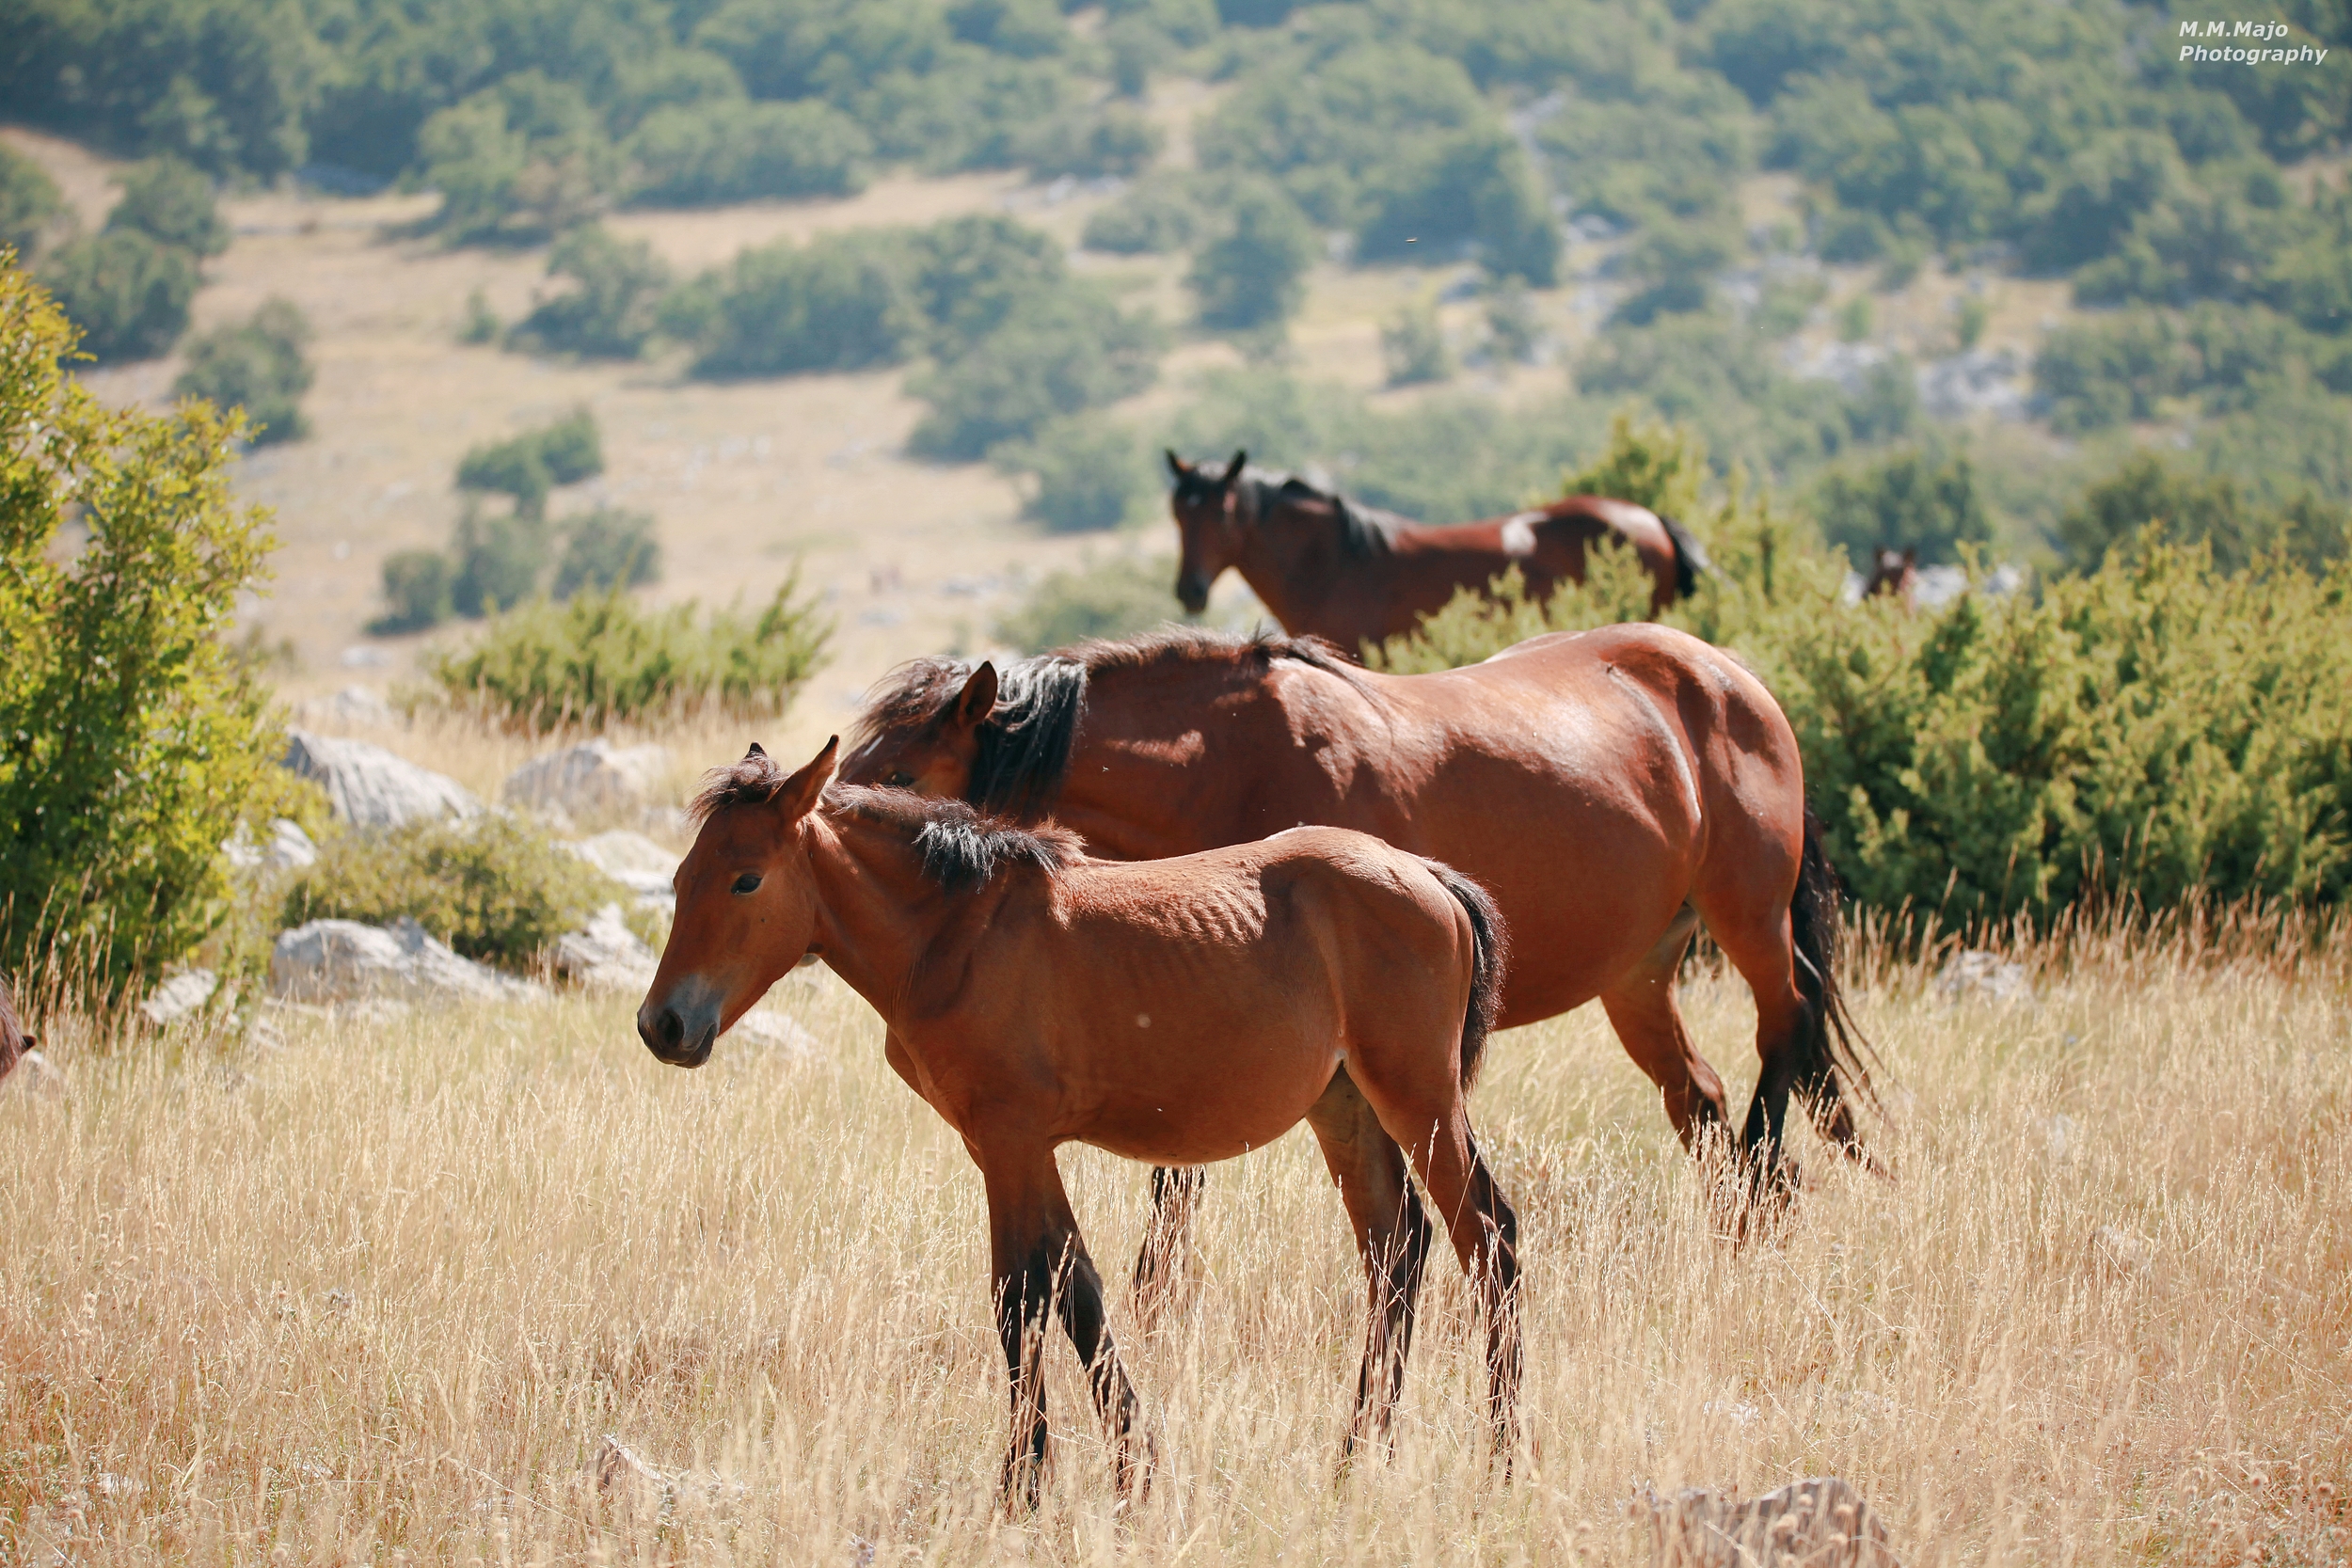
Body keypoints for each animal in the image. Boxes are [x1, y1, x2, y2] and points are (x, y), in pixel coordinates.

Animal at [644, 742, 1524, 1513]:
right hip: (1345, 1108)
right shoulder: (1008, 1148)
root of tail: (1431, 877)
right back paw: (1356, 1458)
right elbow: (1071, 1291)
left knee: (1490, 1238)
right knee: (1396, 1249)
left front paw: (1029, 1487)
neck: (957, 933)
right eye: (684, 877)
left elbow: (1024, 1295)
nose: (665, 1025)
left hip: (1418, 1100)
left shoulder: (1010, 1140)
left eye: (746, 879)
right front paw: (1125, 1468)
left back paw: (1503, 1459)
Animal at [837, 620, 1882, 1288]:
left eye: (901, 772)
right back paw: (1742, 1225)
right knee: (1697, 1097)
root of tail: (1733, 678)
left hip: (1750, 920)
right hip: (1637, 976)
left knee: (1782, 1042)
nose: (830, 815)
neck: (1231, 758)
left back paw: (1767, 1192)